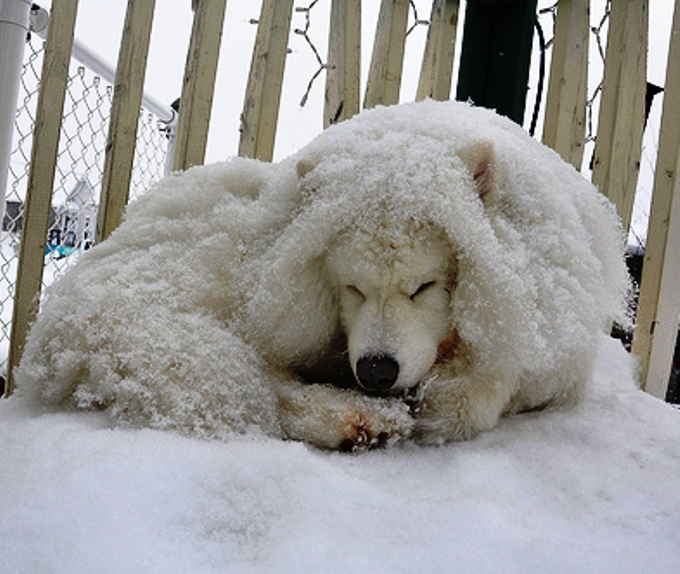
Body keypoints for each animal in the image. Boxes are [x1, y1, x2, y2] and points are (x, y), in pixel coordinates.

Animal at [14, 104, 632, 454]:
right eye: (351, 288)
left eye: (425, 286)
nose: (377, 371)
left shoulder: (555, 359)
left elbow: (496, 384)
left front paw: (447, 397)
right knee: (258, 381)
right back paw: (353, 419)